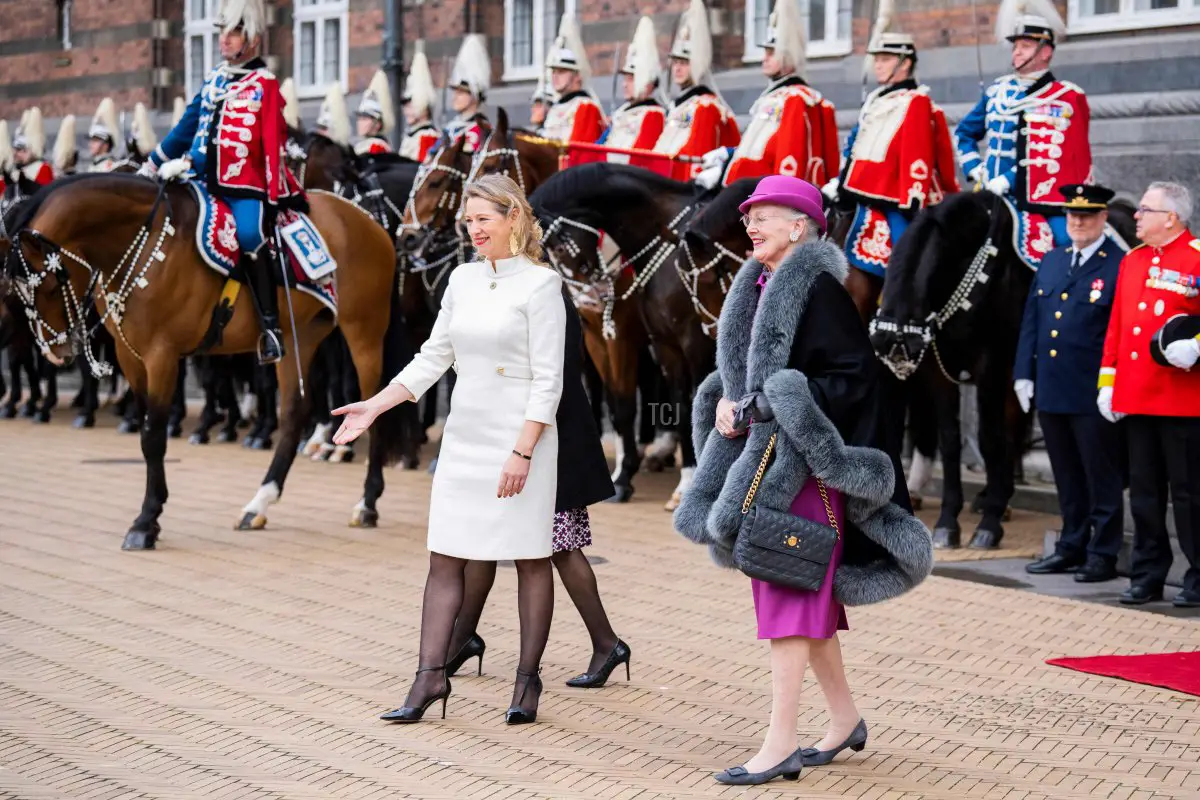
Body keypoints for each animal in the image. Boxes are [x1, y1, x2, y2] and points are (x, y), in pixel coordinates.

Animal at [2, 173, 410, 551]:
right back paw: (259, 503)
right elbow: (146, 430)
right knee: (296, 411)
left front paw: (146, 521)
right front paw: (152, 512)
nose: (58, 350)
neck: (147, 242)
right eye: (17, 291)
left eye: (50, 284)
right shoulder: (129, 356)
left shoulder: (162, 355)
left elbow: (153, 436)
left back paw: (367, 503)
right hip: (300, 338)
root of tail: (366, 219)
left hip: (364, 331)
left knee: (373, 407)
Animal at [868, 190, 1137, 546]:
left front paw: (988, 526)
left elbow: (988, 440)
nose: (890, 347)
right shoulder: (939, 371)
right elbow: (951, 440)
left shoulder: (991, 368)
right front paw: (948, 522)